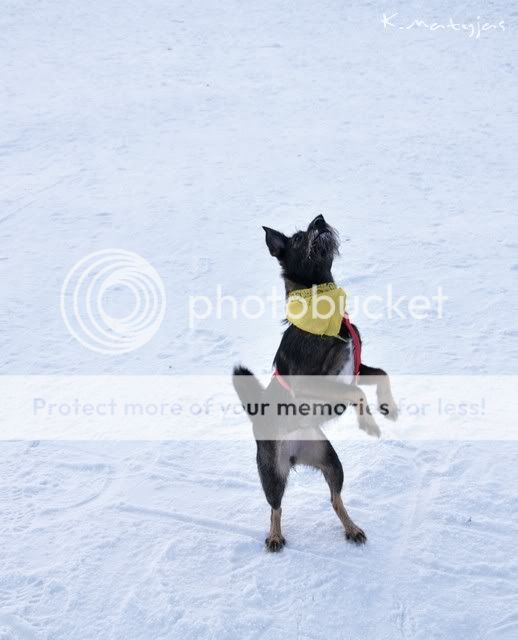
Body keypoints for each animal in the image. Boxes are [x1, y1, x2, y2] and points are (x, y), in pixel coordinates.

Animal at [233, 214, 398, 551]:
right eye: (298, 238)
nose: (319, 220)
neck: (321, 308)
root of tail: (295, 456)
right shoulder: (315, 381)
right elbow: (356, 391)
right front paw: (368, 422)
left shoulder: (355, 366)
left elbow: (381, 374)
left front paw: (388, 406)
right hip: (272, 471)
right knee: (276, 507)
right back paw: (275, 535)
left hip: (331, 461)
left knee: (335, 499)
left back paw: (351, 528)